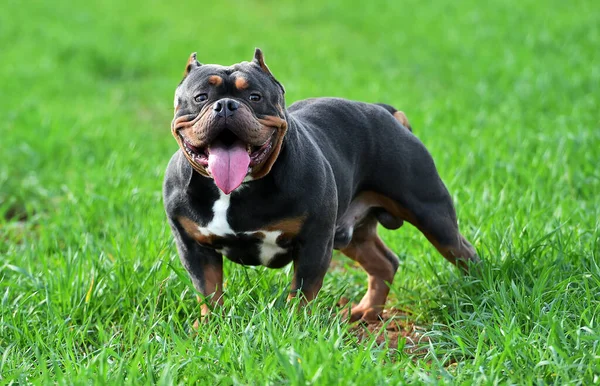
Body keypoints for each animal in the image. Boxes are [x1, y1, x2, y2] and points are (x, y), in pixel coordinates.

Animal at [162, 49, 480, 324]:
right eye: (200, 97)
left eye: (255, 97)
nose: (226, 105)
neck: (235, 190)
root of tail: (384, 111)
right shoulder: (193, 246)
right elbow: (208, 289)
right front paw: (210, 326)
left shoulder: (314, 241)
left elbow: (303, 291)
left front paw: (295, 325)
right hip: (350, 235)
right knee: (384, 262)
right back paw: (367, 311)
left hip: (431, 213)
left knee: (461, 251)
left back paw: (476, 288)